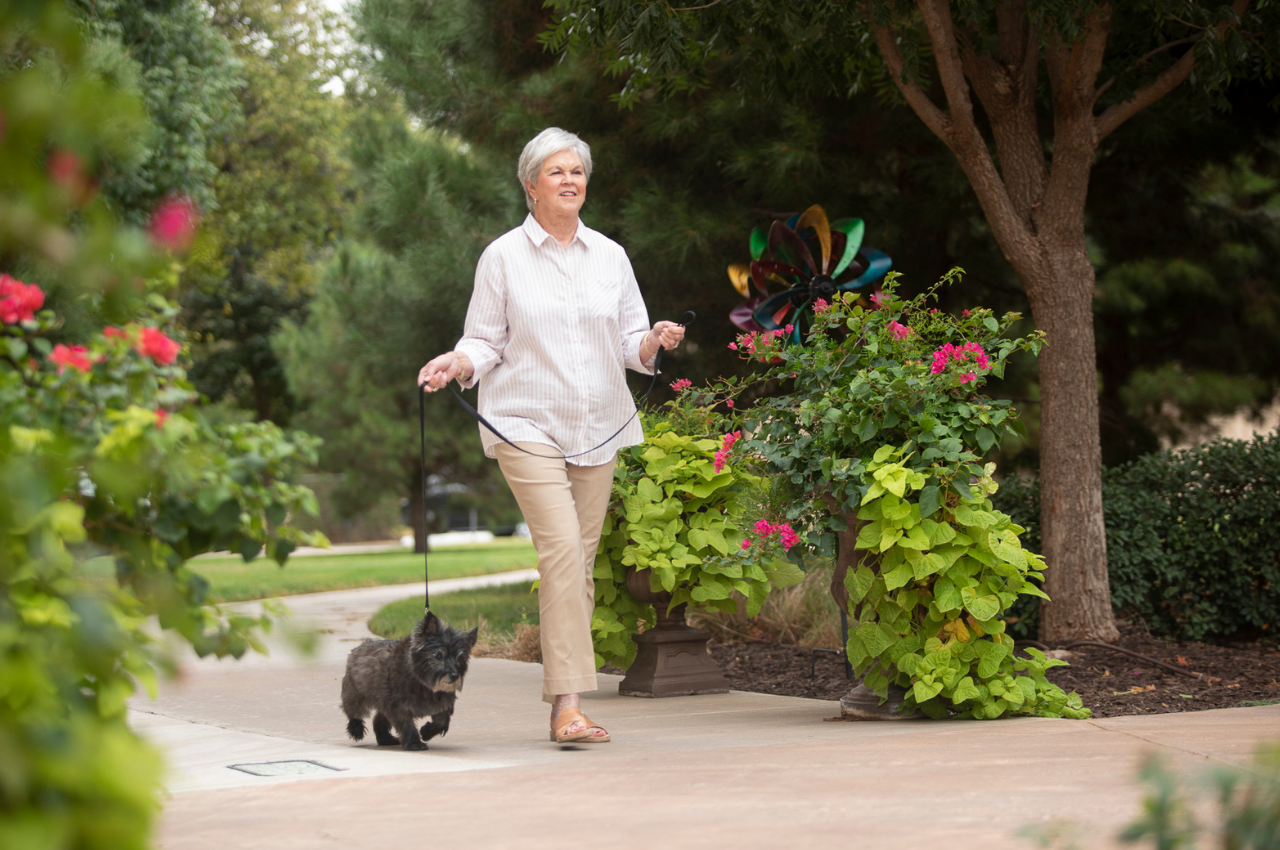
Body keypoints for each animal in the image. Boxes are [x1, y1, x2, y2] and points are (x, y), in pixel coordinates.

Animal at [343, 611, 478, 752]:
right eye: (438, 655)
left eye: (459, 658)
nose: (454, 676)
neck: (423, 683)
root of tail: (360, 646)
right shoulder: (398, 705)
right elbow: (407, 724)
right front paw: (415, 743)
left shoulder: (442, 702)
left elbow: (442, 721)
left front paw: (426, 732)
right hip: (356, 695)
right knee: (353, 712)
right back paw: (356, 730)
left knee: (378, 718)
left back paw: (385, 738)